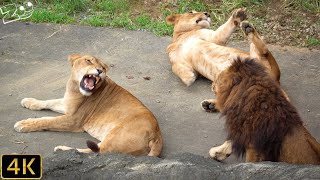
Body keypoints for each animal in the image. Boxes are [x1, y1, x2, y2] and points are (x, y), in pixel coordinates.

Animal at [13, 54, 162, 156]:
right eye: (88, 60)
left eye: (103, 68)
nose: (100, 70)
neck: (74, 88)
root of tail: (157, 136)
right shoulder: (67, 104)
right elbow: (49, 102)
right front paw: (29, 101)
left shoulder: (73, 120)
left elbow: (47, 121)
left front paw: (24, 124)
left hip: (116, 136)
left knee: (97, 152)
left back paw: (63, 150)